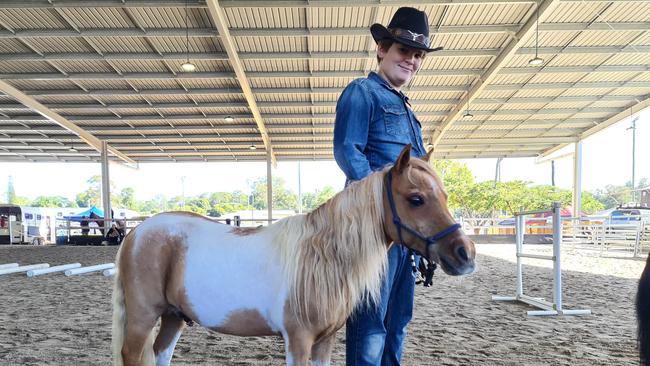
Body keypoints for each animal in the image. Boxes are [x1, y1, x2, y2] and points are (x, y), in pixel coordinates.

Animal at [112, 144, 476, 364]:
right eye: (416, 199)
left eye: (444, 196)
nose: (466, 253)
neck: (323, 258)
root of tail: (136, 233)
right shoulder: (298, 339)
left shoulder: (325, 341)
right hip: (143, 317)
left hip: (174, 316)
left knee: (160, 354)